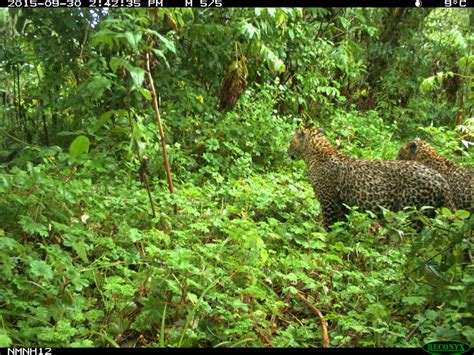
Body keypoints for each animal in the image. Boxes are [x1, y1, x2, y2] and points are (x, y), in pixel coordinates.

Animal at [286, 127, 454, 228]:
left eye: (291, 142)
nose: (287, 152)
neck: (318, 155)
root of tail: (441, 180)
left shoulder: (329, 202)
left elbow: (329, 224)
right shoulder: (343, 205)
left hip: (414, 213)